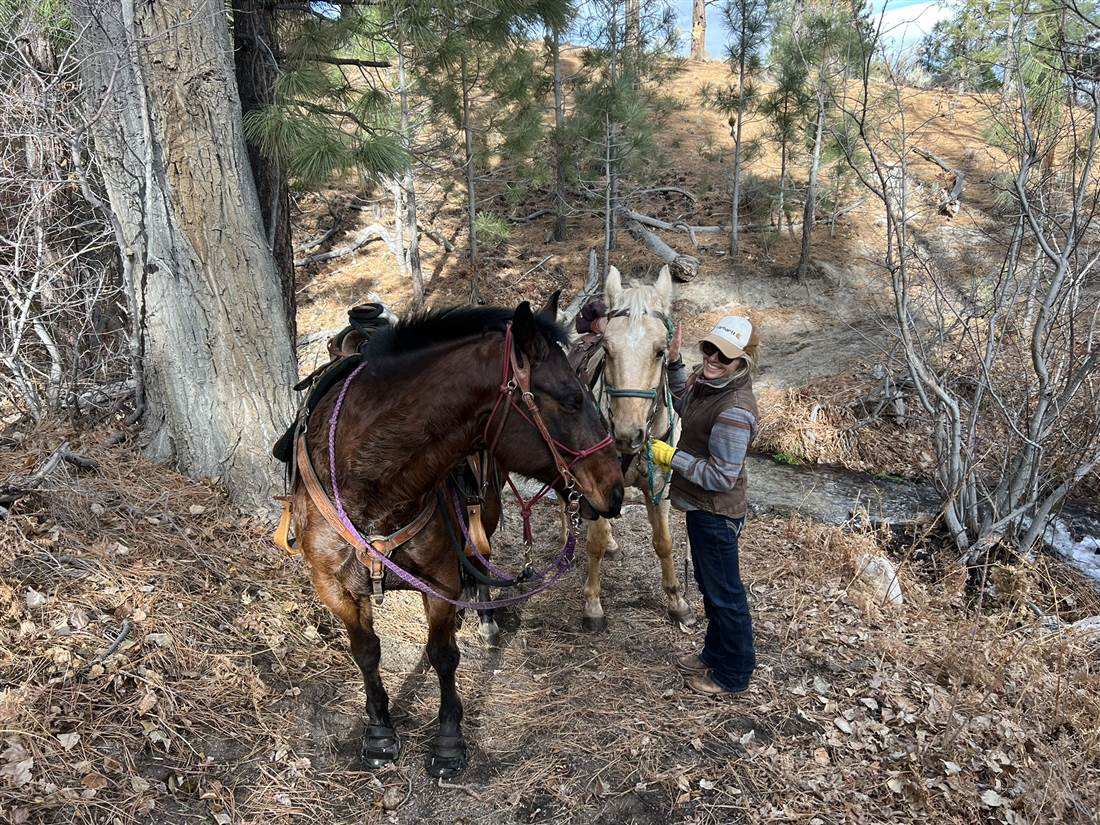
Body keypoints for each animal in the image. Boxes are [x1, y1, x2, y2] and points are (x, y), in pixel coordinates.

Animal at [288, 295, 624, 778]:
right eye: (571, 398)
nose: (616, 487)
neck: (373, 487)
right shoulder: (334, 588)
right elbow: (366, 651)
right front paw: (379, 731)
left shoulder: (441, 582)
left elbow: (442, 654)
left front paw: (448, 740)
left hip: (487, 506)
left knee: (480, 556)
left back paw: (484, 615)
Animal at [579, 265, 694, 631]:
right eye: (607, 349)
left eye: (660, 350)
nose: (628, 434)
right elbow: (594, 543)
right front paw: (592, 605)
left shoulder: (658, 487)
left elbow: (664, 542)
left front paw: (676, 601)